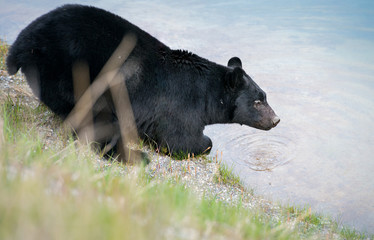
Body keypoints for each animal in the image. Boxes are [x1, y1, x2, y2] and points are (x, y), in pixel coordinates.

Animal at [6, 3, 280, 159]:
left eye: (265, 97)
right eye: (258, 101)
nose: (276, 119)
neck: (206, 94)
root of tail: (23, 42)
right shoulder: (181, 107)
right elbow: (182, 140)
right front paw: (200, 143)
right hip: (72, 72)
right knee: (90, 116)